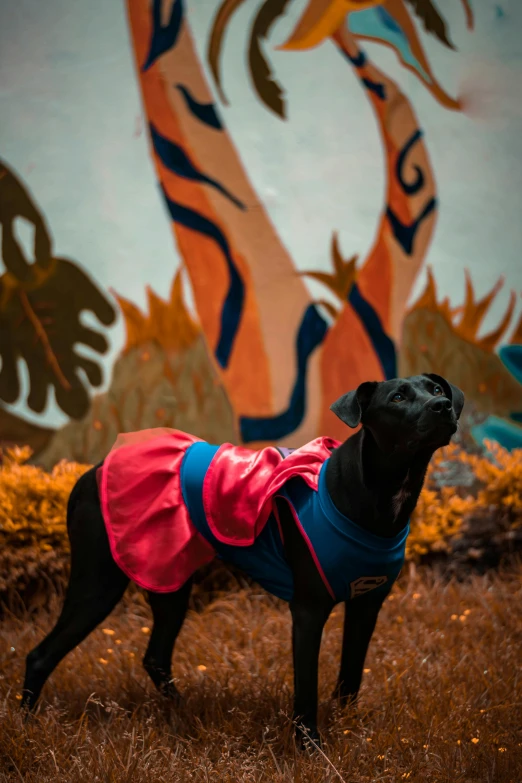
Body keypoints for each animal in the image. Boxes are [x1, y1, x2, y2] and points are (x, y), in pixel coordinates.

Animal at [20, 374, 462, 748]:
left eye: (435, 388)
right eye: (398, 397)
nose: (444, 405)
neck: (377, 494)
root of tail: (91, 471)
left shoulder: (367, 604)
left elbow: (349, 676)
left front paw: (347, 726)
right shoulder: (308, 611)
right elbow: (307, 687)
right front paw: (310, 747)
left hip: (169, 581)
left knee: (155, 657)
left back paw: (182, 712)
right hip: (98, 584)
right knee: (40, 655)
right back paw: (27, 726)